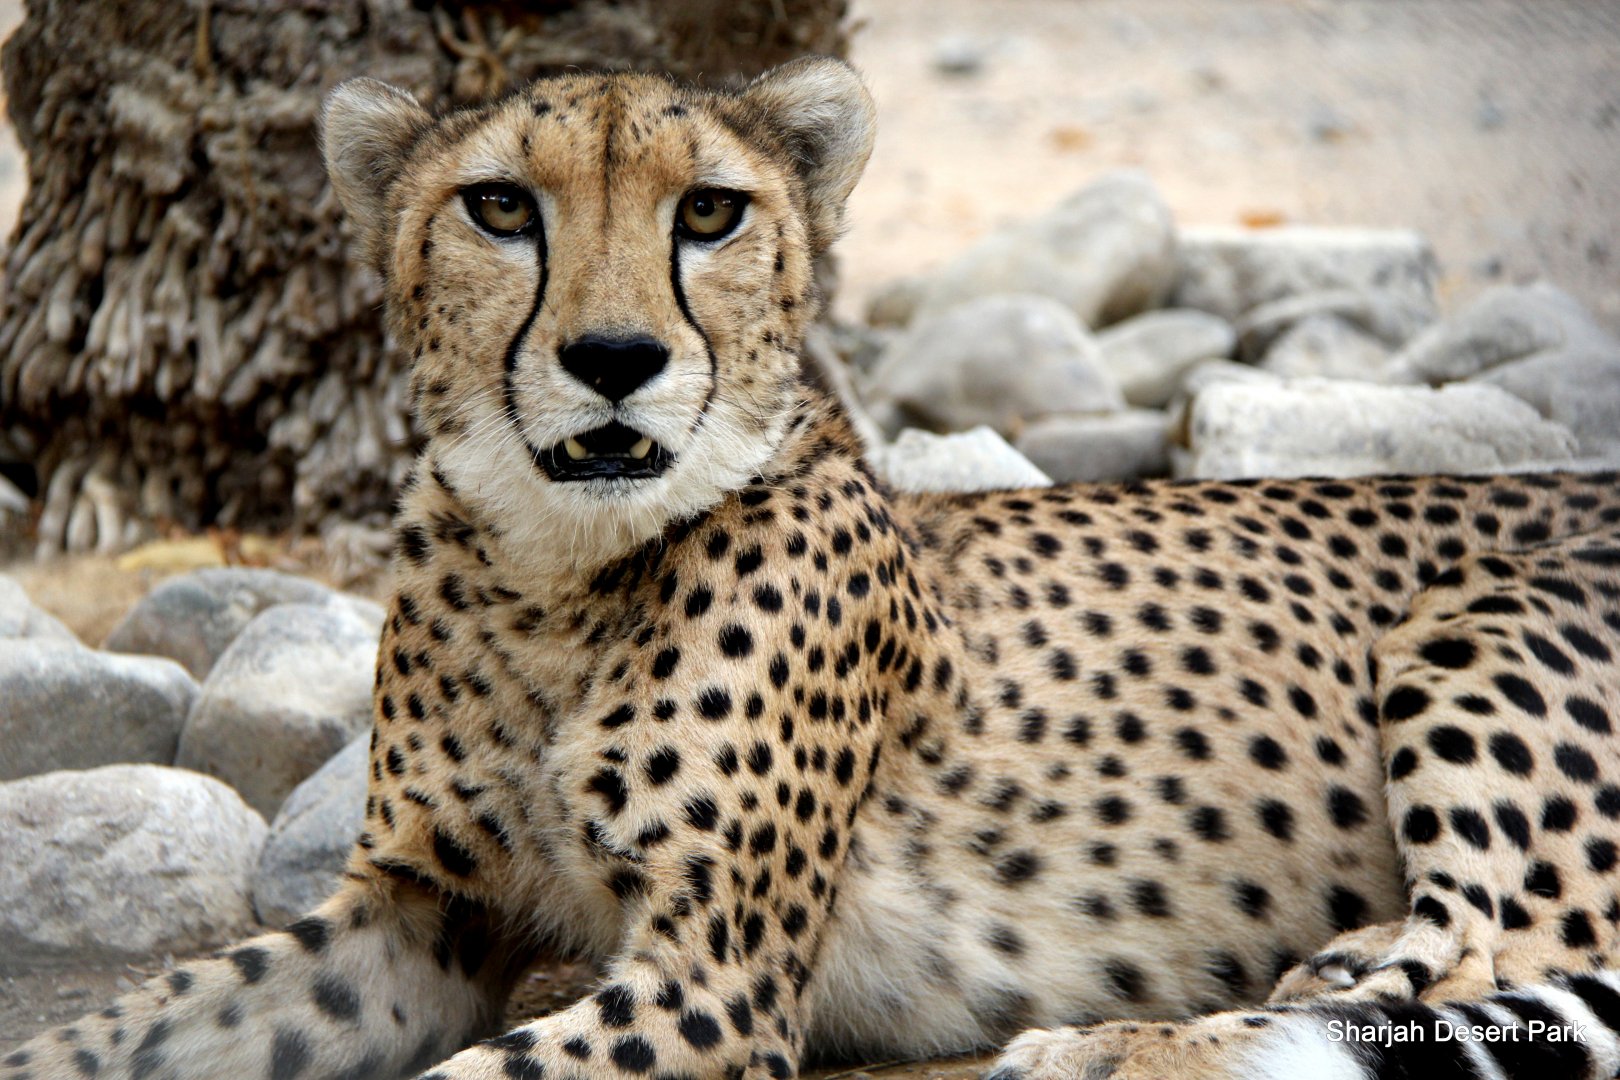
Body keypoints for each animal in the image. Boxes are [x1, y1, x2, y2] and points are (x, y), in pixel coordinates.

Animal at [7, 55, 1620, 1080]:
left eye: (710, 211)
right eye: (501, 206)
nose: (614, 359)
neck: (556, 576)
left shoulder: (708, 985)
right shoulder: (415, 917)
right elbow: (134, 1024)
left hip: (1477, 620)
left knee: (1486, 954)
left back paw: (1113, 1051)